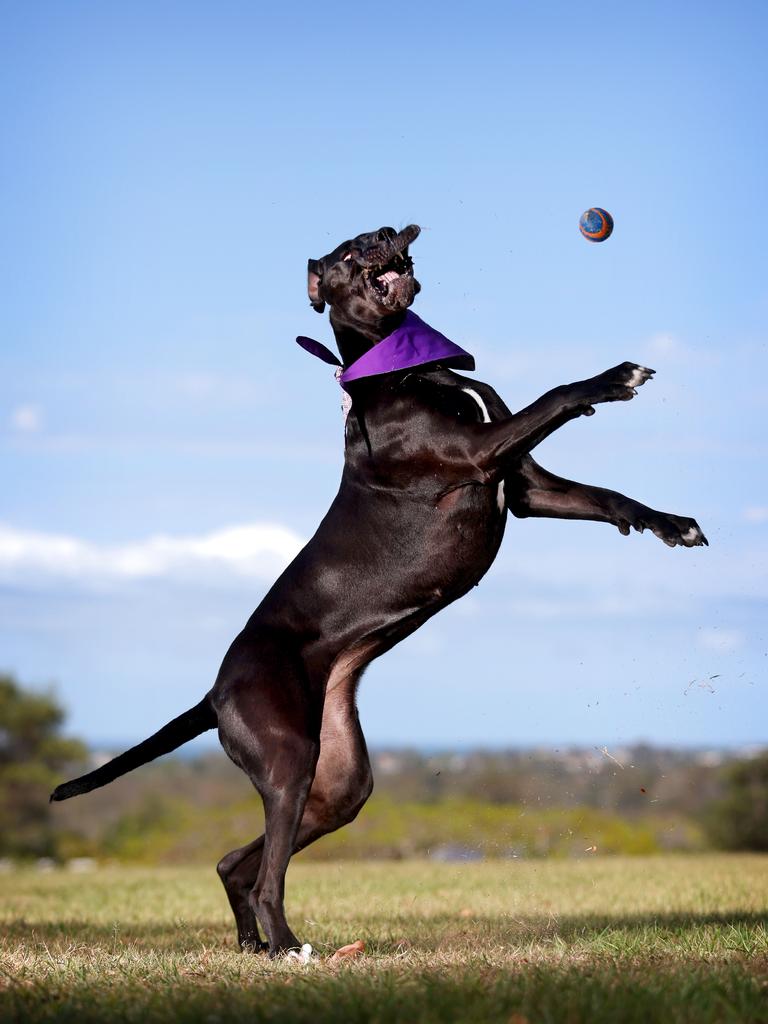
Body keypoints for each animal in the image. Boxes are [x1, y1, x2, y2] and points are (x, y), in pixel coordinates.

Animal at [51, 224, 708, 958]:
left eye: (372, 234)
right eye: (346, 253)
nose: (392, 232)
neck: (408, 371)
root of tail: (215, 691)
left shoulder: (526, 486)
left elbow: (608, 496)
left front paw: (670, 525)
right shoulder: (481, 451)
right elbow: (557, 396)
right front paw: (614, 378)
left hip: (337, 782)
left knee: (236, 862)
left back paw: (256, 945)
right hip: (287, 760)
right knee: (268, 875)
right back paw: (287, 944)